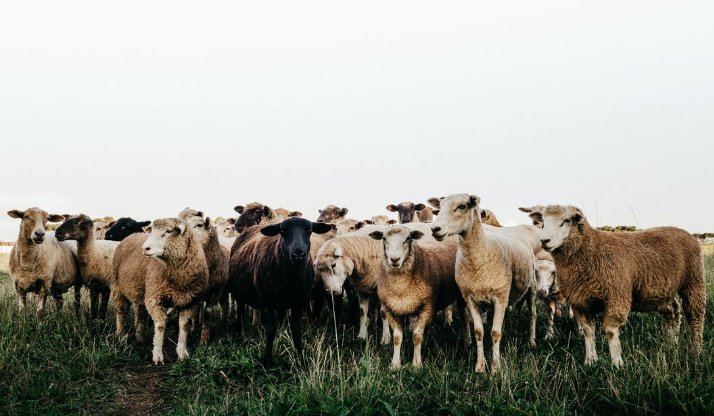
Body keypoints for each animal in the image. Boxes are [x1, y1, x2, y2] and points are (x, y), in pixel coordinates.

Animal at [110, 218, 206, 364]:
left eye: (168, 231)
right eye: (152, 231)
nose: (145, 248)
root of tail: (131, 235)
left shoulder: (191, 301)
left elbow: (184, 325)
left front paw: (182, 353)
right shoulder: (154, 298)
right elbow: (160, 325)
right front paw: (157, 355)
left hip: (142, 291)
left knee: (141, 315)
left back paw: (140, 338)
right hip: (118, 288)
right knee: (121, 313)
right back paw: (121, 337)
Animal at [368, 226, 462, 368]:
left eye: (408, 238)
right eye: (384, 238)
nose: (394, 259)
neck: (400, 288)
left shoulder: (427, 307)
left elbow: (417, 336)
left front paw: (417, 364)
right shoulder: (390, 308)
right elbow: (397, 337)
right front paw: (395, 364)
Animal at [428, 195, 536, 374]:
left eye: (462, 206)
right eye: (440, 206)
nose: (435, 229)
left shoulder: (499, 298)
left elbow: (495, 333)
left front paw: (496, 367)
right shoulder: (471, 299)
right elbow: (479, 332)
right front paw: (480, 366)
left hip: (531, 286)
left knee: (533, 314)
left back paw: (532, 342)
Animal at [528, 205, 700, 368]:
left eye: (566, 220)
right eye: (543, 221)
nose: (544, 240)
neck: (592, 250)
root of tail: (682, 231)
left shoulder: (616, 296)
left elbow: (610, 331)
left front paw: (617, 364)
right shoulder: (580, 302)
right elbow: (588, 332)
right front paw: (590, 361)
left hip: (694, 281)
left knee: (695, 315)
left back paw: (696, 350)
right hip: (661, 292)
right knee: (673, 310)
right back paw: (672, 342)